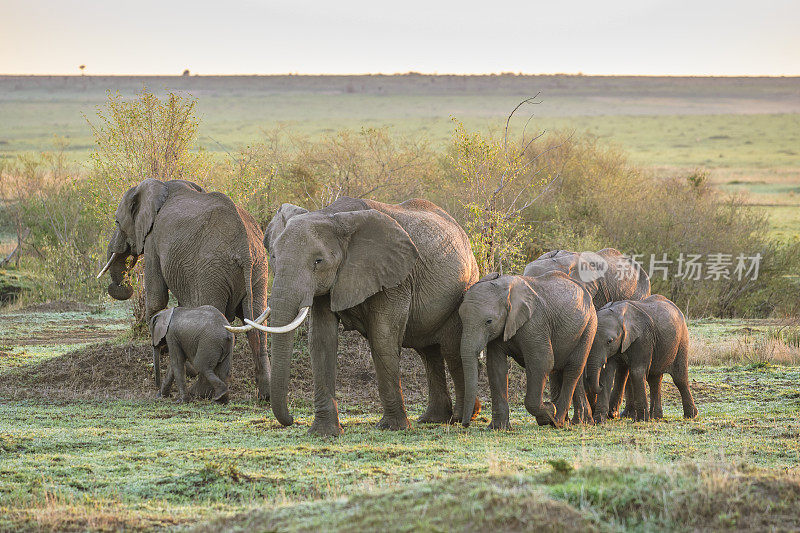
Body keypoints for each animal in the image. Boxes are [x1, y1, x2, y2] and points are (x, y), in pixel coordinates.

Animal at [96, 179, 272, 400]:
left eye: (117, 222)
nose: (121, 284)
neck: (160, 186)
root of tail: (245, 250)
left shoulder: (153, 240)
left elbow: (157, 298)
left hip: (211, 273)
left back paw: (201, 392)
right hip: (259, 270)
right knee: (257, 323)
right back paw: (265, 395)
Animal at [242, 197, 482, 434]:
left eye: (318, 261)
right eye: (273, 256)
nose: (292, 420)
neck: (331, 216)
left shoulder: (393, 276)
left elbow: (382, 338)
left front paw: (392, 428)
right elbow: (321, 339)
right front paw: (323, 432)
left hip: (464, 290)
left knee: (451, 350)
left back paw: (464, 417)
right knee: (427, 352)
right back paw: (433, 419)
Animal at [460, 270, 596, 428]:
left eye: (489, 321)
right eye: (460, 318)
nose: (465, 424)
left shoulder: (535, 323)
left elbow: (542, 362)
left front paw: (549, 412)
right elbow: (496, 366)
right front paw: (497, 428)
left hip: (589, 327)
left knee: (573, 369)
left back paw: (558, 421)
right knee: (571, 372)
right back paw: (578, 421)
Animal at [584, 294, 696, 422]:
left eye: (609, 341)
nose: (599, 386)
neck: (619, 314)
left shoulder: (642, 338)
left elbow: (637, 372)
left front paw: (642, 420)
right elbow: (607, 373)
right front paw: (599, 420)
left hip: (682, 340)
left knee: (679, 378)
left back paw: (690, 415)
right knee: (654, 380)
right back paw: (656, 417)